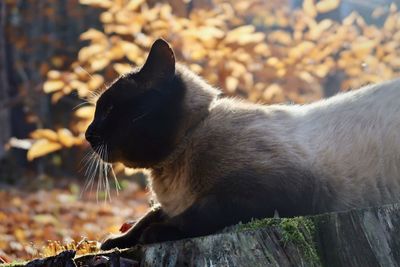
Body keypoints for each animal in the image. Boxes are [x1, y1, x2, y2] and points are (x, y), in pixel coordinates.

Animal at [86, 38, 400, 250]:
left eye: (109, 110)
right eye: (100, 110)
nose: (88, 134)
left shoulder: (272, 190)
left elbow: (198, 212)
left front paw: (157, 233)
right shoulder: (170, 204)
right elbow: (145, 217)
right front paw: (115, 240)